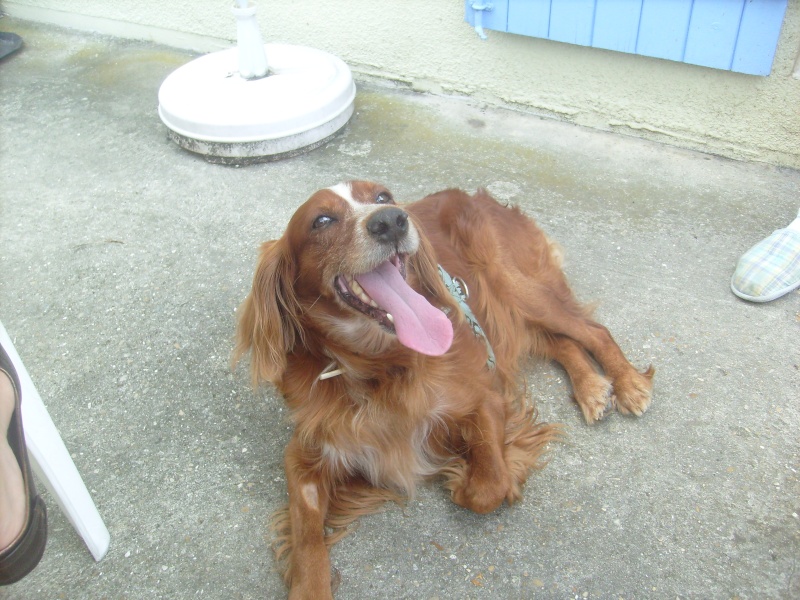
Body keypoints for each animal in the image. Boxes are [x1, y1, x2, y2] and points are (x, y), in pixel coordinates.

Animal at [233, 180, 656, 596]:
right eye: (321, 220)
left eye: (383, 196)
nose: (391, 221)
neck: (381, 370)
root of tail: (476, 195)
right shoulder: (305, 453)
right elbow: (307, 539)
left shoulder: (483, 397)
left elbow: (489, 486)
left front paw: (462, 476)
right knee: (560, 342)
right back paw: (592, 388)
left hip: (518, 288)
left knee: (592, 331)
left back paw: (629, 384)